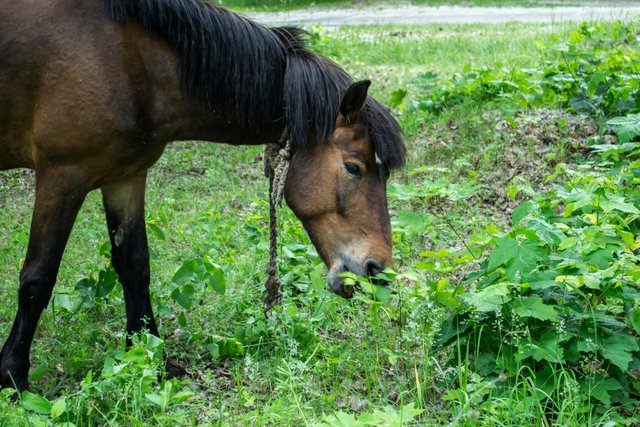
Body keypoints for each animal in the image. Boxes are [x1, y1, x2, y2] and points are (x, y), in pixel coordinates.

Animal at [0, 0, 404, 392]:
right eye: (354, 168)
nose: (378, 270)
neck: (127, 57)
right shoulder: (61, 175)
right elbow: (38, 277)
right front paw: (13, 376)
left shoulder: (125, 177)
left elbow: (134, 265)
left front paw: (149, 357)